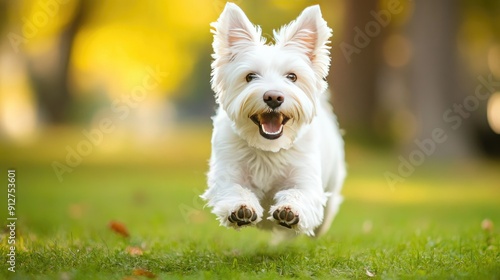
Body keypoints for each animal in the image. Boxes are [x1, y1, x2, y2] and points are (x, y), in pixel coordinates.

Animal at [201, 3, 346, 237]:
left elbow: (300, 194)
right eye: (250, 76)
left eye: (292, 76)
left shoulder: (305, 179)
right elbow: (234, 189)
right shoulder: (227, 173)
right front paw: (241, 208)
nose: (273, 97)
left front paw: (289, 211)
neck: (268, 148)